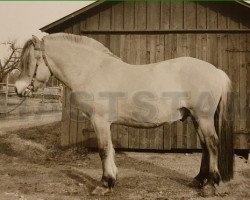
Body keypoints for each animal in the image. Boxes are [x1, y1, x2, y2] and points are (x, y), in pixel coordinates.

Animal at [14, 33, 234, 196]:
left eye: (30, 61)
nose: (18, 89)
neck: (92, 70)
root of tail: (216, 71)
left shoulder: (99, 121)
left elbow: (103, 150)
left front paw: (104, 184)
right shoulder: (105, 123)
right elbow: (110, 149)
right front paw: (112, 179)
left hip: (203, 117)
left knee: (212, 144)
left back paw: (211, 184)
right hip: (196, 118)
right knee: (205, 146)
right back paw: (198, 180)